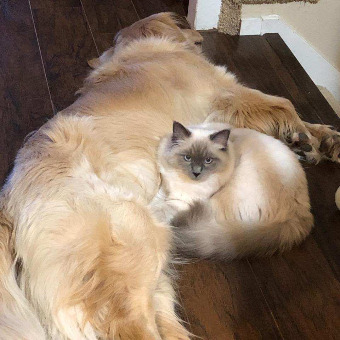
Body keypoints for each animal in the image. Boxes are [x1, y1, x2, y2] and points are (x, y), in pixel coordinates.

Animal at [153, 121, 314, 258]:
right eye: (187, 157)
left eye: (208, 160)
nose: (196, 173)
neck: (183, 181)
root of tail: (299, 214)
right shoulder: (165, 187)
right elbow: (156, 200)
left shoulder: (182, 201)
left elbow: (160, 209)